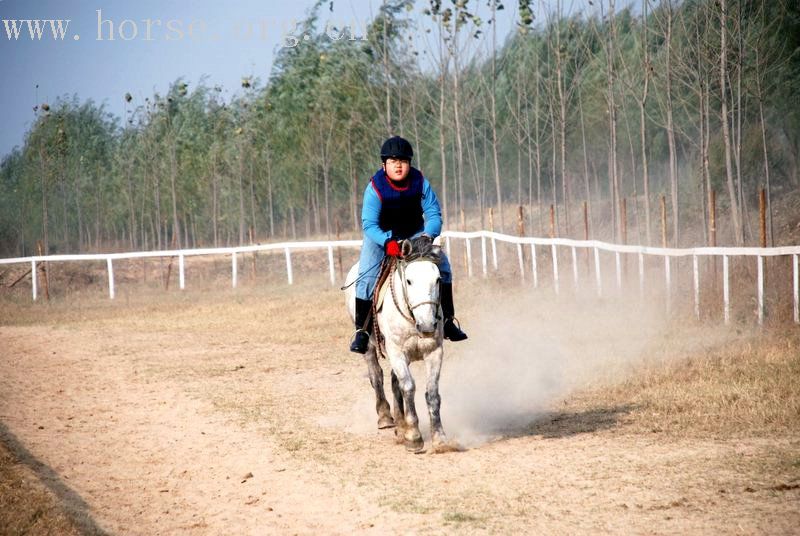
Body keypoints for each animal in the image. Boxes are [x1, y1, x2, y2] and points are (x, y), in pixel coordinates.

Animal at [346, 239, 454, 452]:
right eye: (409, 281)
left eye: (438, 280)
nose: (427, 325)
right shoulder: (396, 352)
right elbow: (409, 387)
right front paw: (414, 437)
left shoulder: (434, 352)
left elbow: (432, 393)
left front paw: (440, 438)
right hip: (370, 348)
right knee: (376, 376)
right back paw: (386, 417)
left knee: (394, 380)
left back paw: (400, 423)